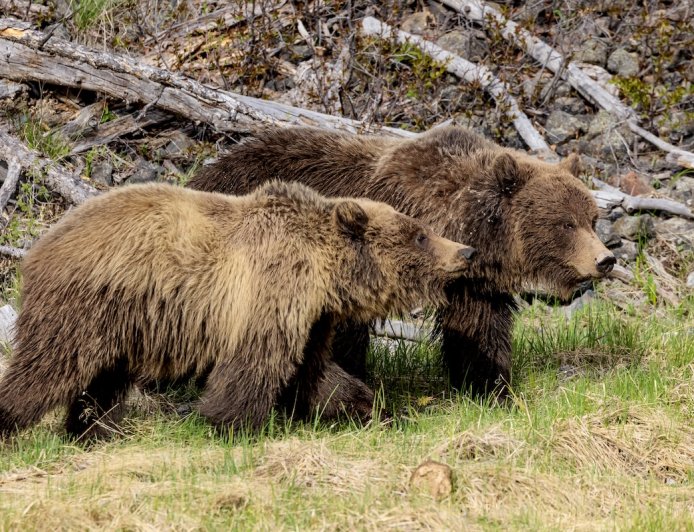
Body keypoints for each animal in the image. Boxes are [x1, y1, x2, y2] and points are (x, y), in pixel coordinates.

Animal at [0, 180, 475, 439]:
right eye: (420, 235)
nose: (466, 251)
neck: (324, 274)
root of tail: (38, 247)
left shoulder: (312, 319)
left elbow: (314, 371)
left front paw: (370, 408)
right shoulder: (269, 293)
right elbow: (255, 363)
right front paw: (231, 422)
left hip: (125, 322)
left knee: (104, 381)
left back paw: (91, 430)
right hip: (85, 304)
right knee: (47, 368)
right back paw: (13, 420)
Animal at [188, 125, 616, 398]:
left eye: (592, 218)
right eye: (565, 223)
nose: (605, 259)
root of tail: (205, 173)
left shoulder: (474, 282)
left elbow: (478, 329)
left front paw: (490, 386)